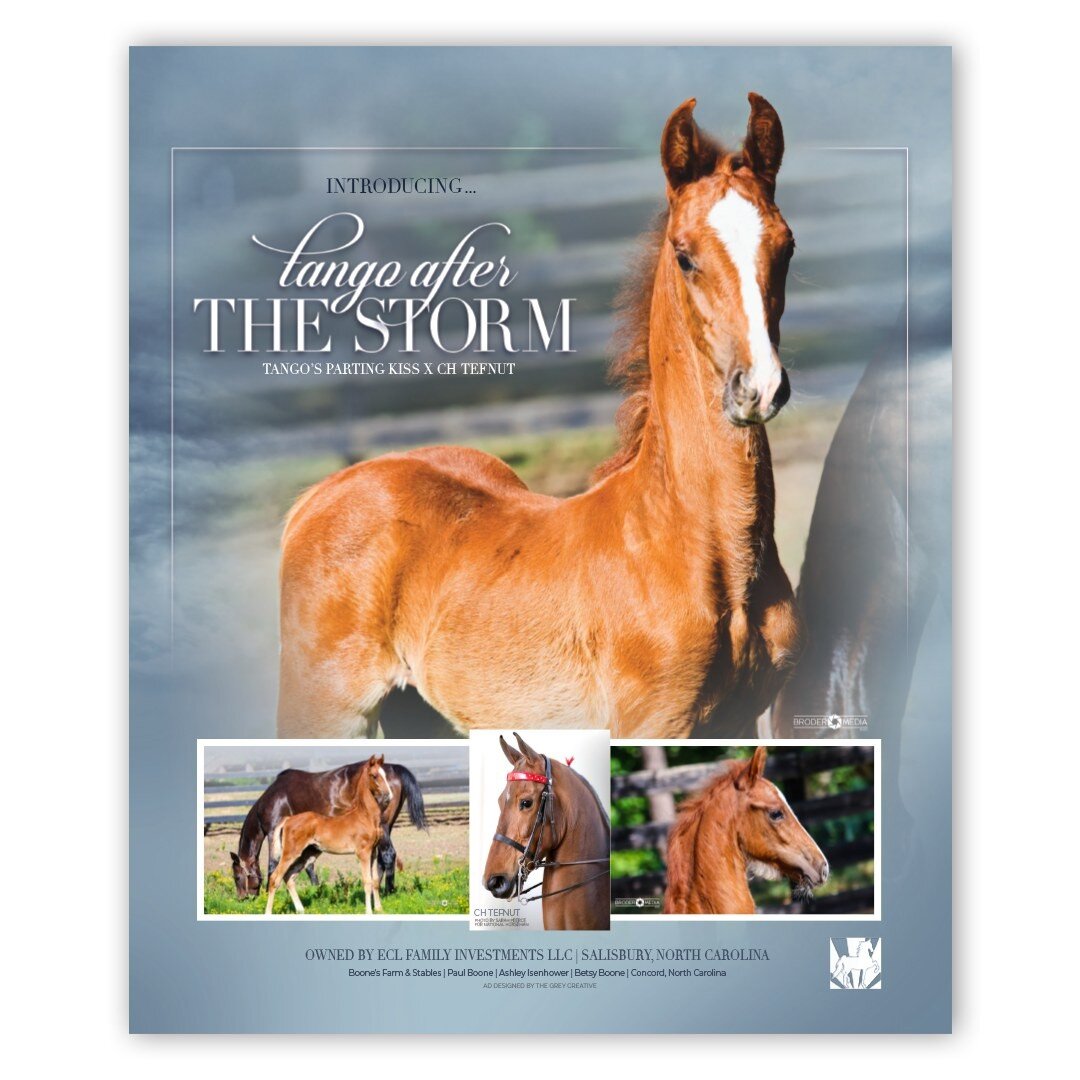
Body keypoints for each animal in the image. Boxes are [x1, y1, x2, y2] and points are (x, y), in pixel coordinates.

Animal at [230, 760, 427, 899]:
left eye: (237, 877)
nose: (242, 898)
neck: (275, 798)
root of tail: (394, 768)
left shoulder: (273, 833)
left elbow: (273, 864)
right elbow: (309, 866)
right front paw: (316, 889)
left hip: (383, 828)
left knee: (388, 855)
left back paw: (388, 892)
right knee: (381, 858)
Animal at [265, 755, 393, 915]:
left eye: (385, 775)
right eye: (374, 775)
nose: (388, 796)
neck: (365, 816)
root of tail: (288, 819)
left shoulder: (373, 852)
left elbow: (375, 881)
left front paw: (379, 909)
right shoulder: (363, 853)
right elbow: (367, 881)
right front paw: (369, 912)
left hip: (308, 854)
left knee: (289, 877)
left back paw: (301, 910)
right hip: (290, 853)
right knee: (275, 878)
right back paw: (269, 912)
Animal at [276, 93, 802, 740]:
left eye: (786, 247)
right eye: (685, 257)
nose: (760, 387)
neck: (694, 547)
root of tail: (320, 495)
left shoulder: (738, 719)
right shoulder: (652, 726)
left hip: (417, 711)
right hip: (322, 709)